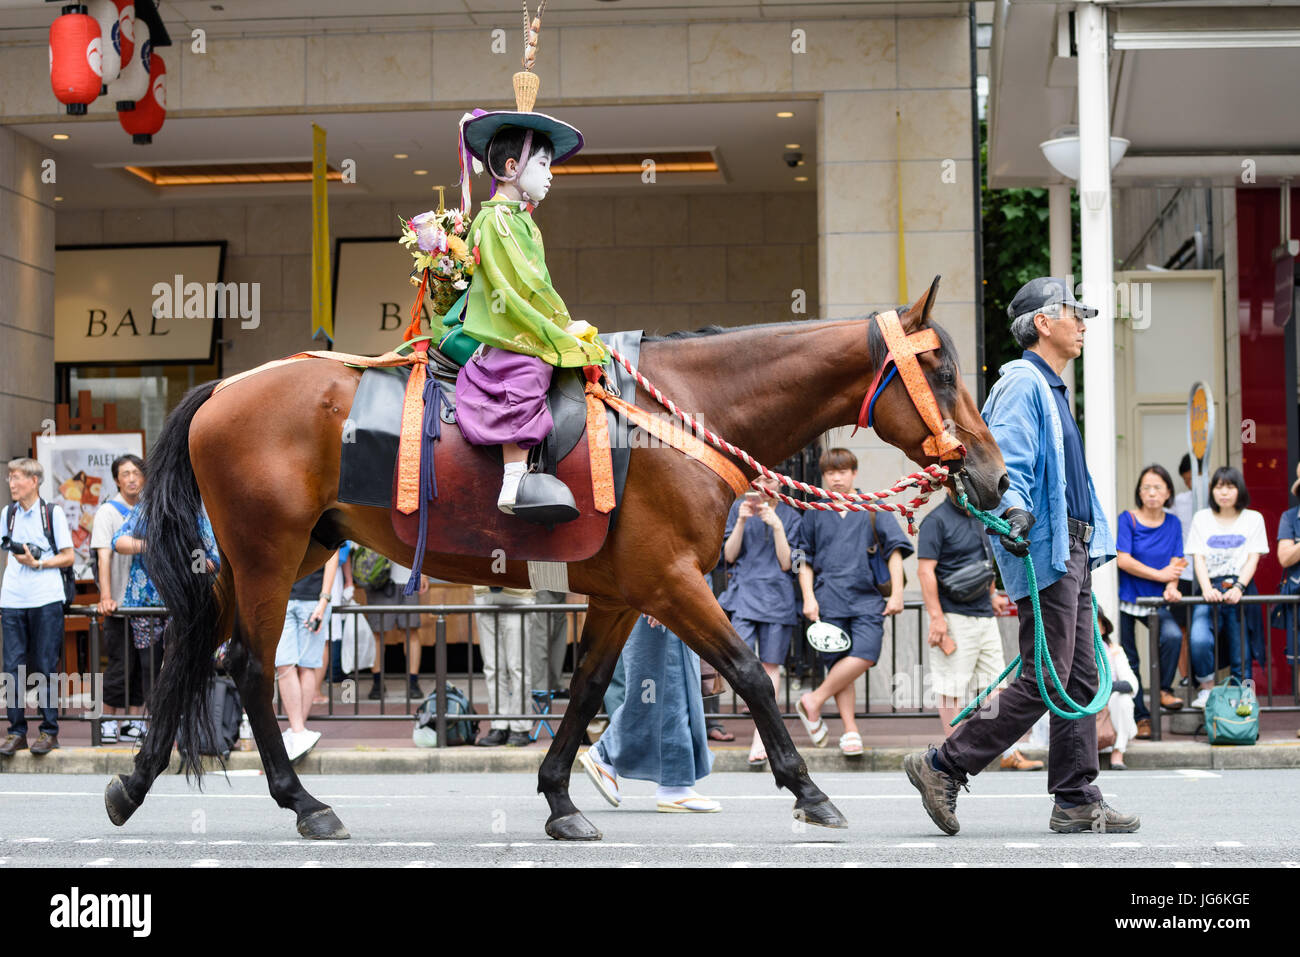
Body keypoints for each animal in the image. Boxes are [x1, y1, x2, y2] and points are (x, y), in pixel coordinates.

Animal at [106, 274, 1008, 837]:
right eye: (941, 367)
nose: (995, 474)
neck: (680, 416)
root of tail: (223, 388)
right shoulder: (674, 582)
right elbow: (752, 673)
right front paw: (809, 789)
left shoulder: (623, 593)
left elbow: (587, 693)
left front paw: (559, 798)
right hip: (270, 553)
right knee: (250, 665)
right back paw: (303, 801)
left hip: (274, 553)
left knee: (195, 651)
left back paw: (134, 782)